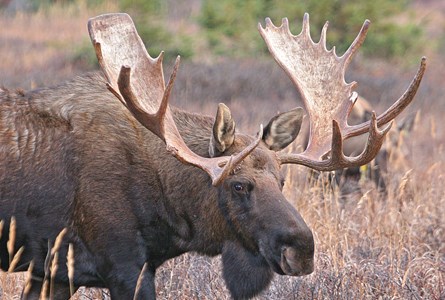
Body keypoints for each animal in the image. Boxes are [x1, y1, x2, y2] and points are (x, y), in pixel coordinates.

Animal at [0, 12, 424, 300]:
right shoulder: (123, 266)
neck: (169, 213)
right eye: (238, 185)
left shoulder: (54, 272)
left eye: (283, 181)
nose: (302, 249)